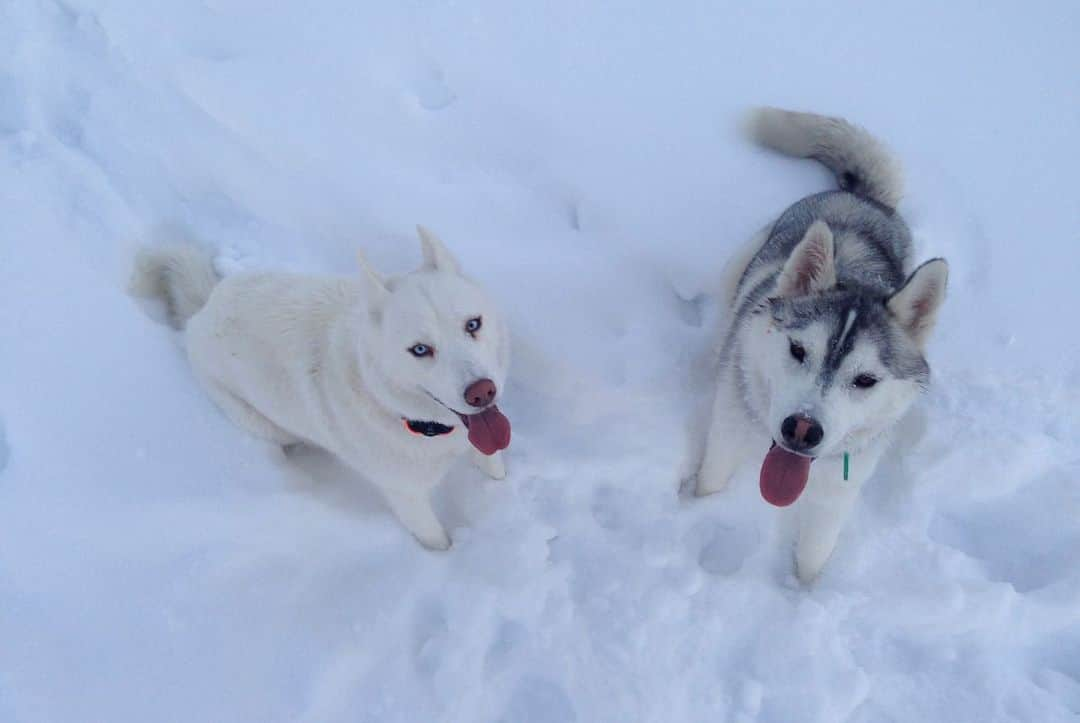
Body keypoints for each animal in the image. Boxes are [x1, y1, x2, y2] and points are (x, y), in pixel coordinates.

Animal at [129, 225, 509, 546]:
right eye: (420, 350)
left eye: (472, 324)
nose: (482, 392)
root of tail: (203, 310)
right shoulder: (407, 497)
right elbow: (436, 541)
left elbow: (493, 464)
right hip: (262, 424)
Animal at [695, 106, 950, 579]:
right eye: (798, 351)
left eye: (865, 380)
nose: (802, 429)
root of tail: (862, 198)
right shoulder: (724, 439)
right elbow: (709, 486)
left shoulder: (838, 493)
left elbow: (813, 555)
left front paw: (803, 591)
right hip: (737, 266)